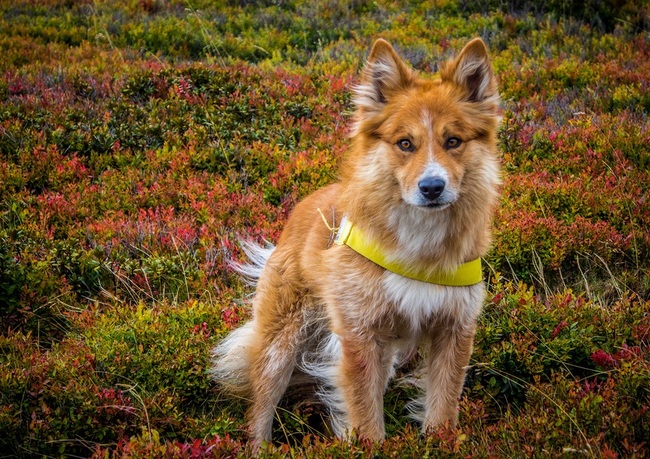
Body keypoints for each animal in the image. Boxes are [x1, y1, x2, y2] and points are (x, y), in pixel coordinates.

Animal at [210, 37, 501, 447]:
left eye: (453, 141)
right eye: (405, 143)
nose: (432, 187)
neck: (419, 243)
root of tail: (303, 206)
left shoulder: (453, 331)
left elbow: (442, 408)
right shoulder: (361, 336)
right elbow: (365, 416)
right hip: (279, 347)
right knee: (260, 410)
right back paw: (260, 447)